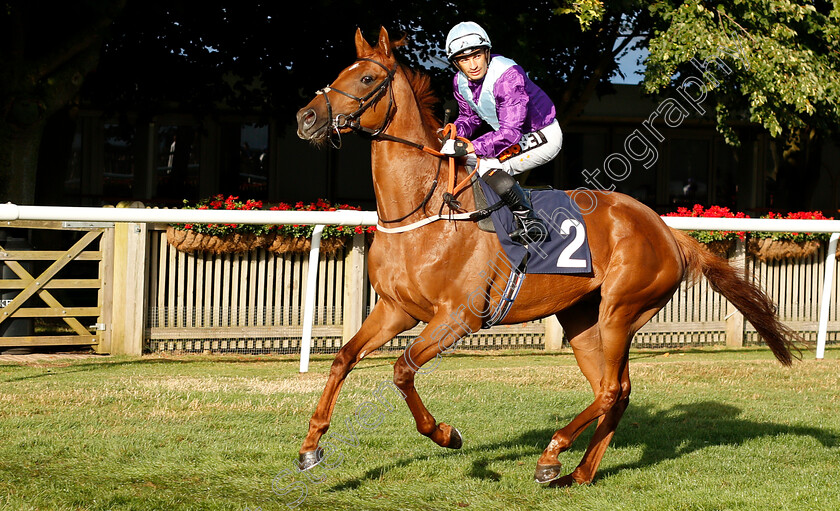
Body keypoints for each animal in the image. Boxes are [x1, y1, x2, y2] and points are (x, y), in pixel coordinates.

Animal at [294, 28, 800, 488]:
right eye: (338, 73)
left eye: (366, 78)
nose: (306, 117)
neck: (424, 209)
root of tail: (667, 230)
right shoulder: (396, 309)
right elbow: (343, 358)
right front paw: (310, 447)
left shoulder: (456, 318)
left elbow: (401, 371)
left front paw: (446, 434)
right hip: (583, 321)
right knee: (616, 392)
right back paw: (577, 472)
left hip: (621, 311)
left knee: (612, 389)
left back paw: (552, 454)